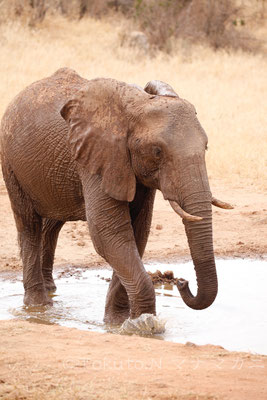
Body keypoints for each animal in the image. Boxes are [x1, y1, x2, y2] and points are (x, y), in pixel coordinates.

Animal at [0, 68, 233, 324]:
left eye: (206, 147)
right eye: (157, 151)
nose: (182, 282)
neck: (138, 105)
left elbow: (138, 231)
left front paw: (118, 322)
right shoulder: (98, 157)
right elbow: (108, 232)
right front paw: (144, 325)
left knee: (53, 222)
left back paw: (50, 290)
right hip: (10, 161)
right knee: (28, 224)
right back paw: (39, 306)